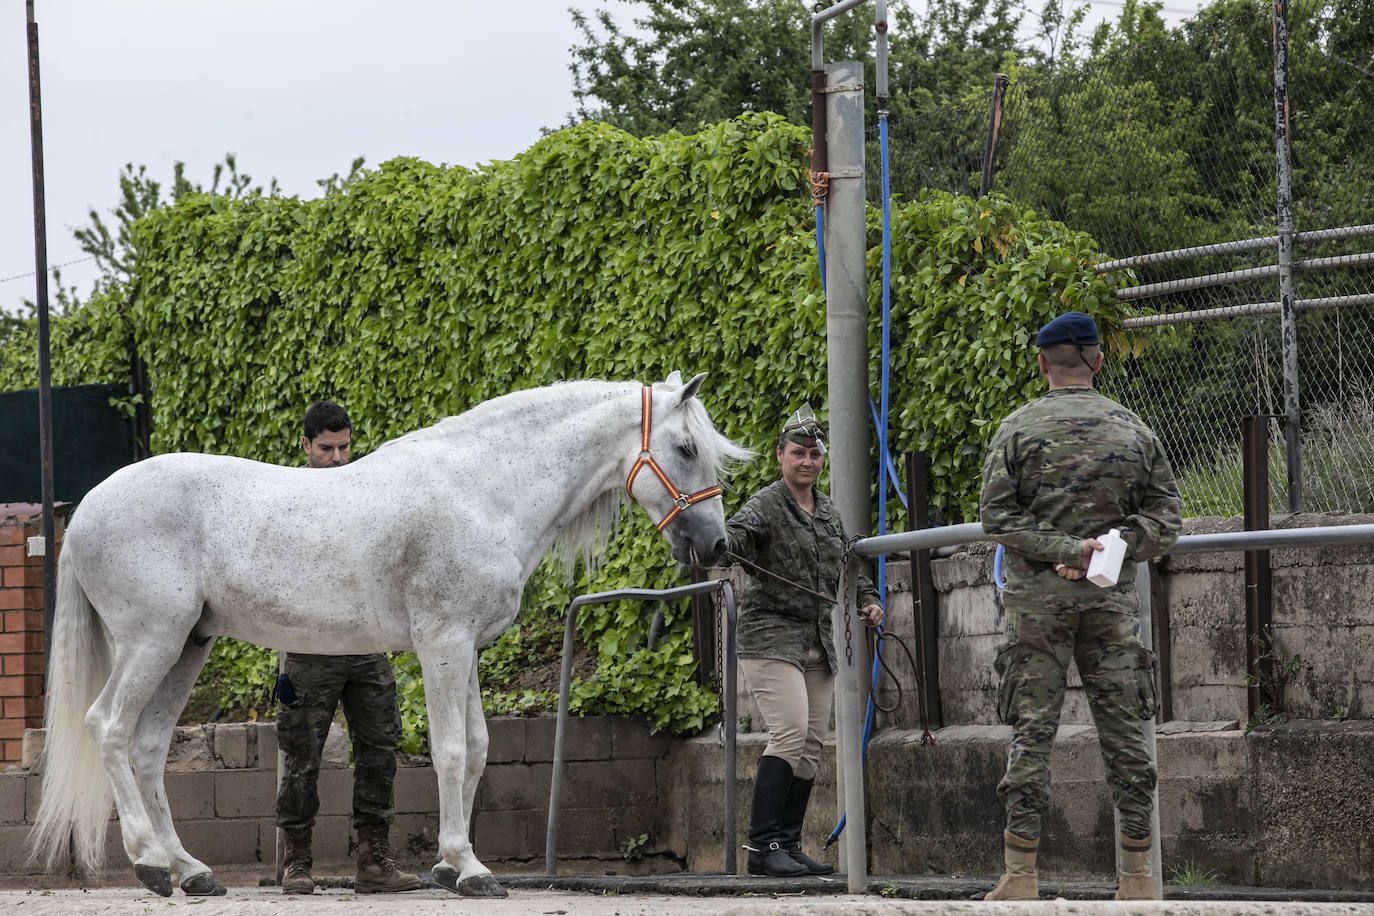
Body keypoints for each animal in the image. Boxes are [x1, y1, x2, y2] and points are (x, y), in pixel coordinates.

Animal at [26, 370, 747, 895]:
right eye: (686, 448)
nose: (718, 545)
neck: (482, 491)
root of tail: (87, 506)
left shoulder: (468, 650)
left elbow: (478, 749)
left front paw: (451, 866)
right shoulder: (443, 645)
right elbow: (451, 751)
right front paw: (470, 870)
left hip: (187, 647)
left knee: (148, 747)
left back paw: (192, 871)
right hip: (152, 641)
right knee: (110, 729)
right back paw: (150, 864)